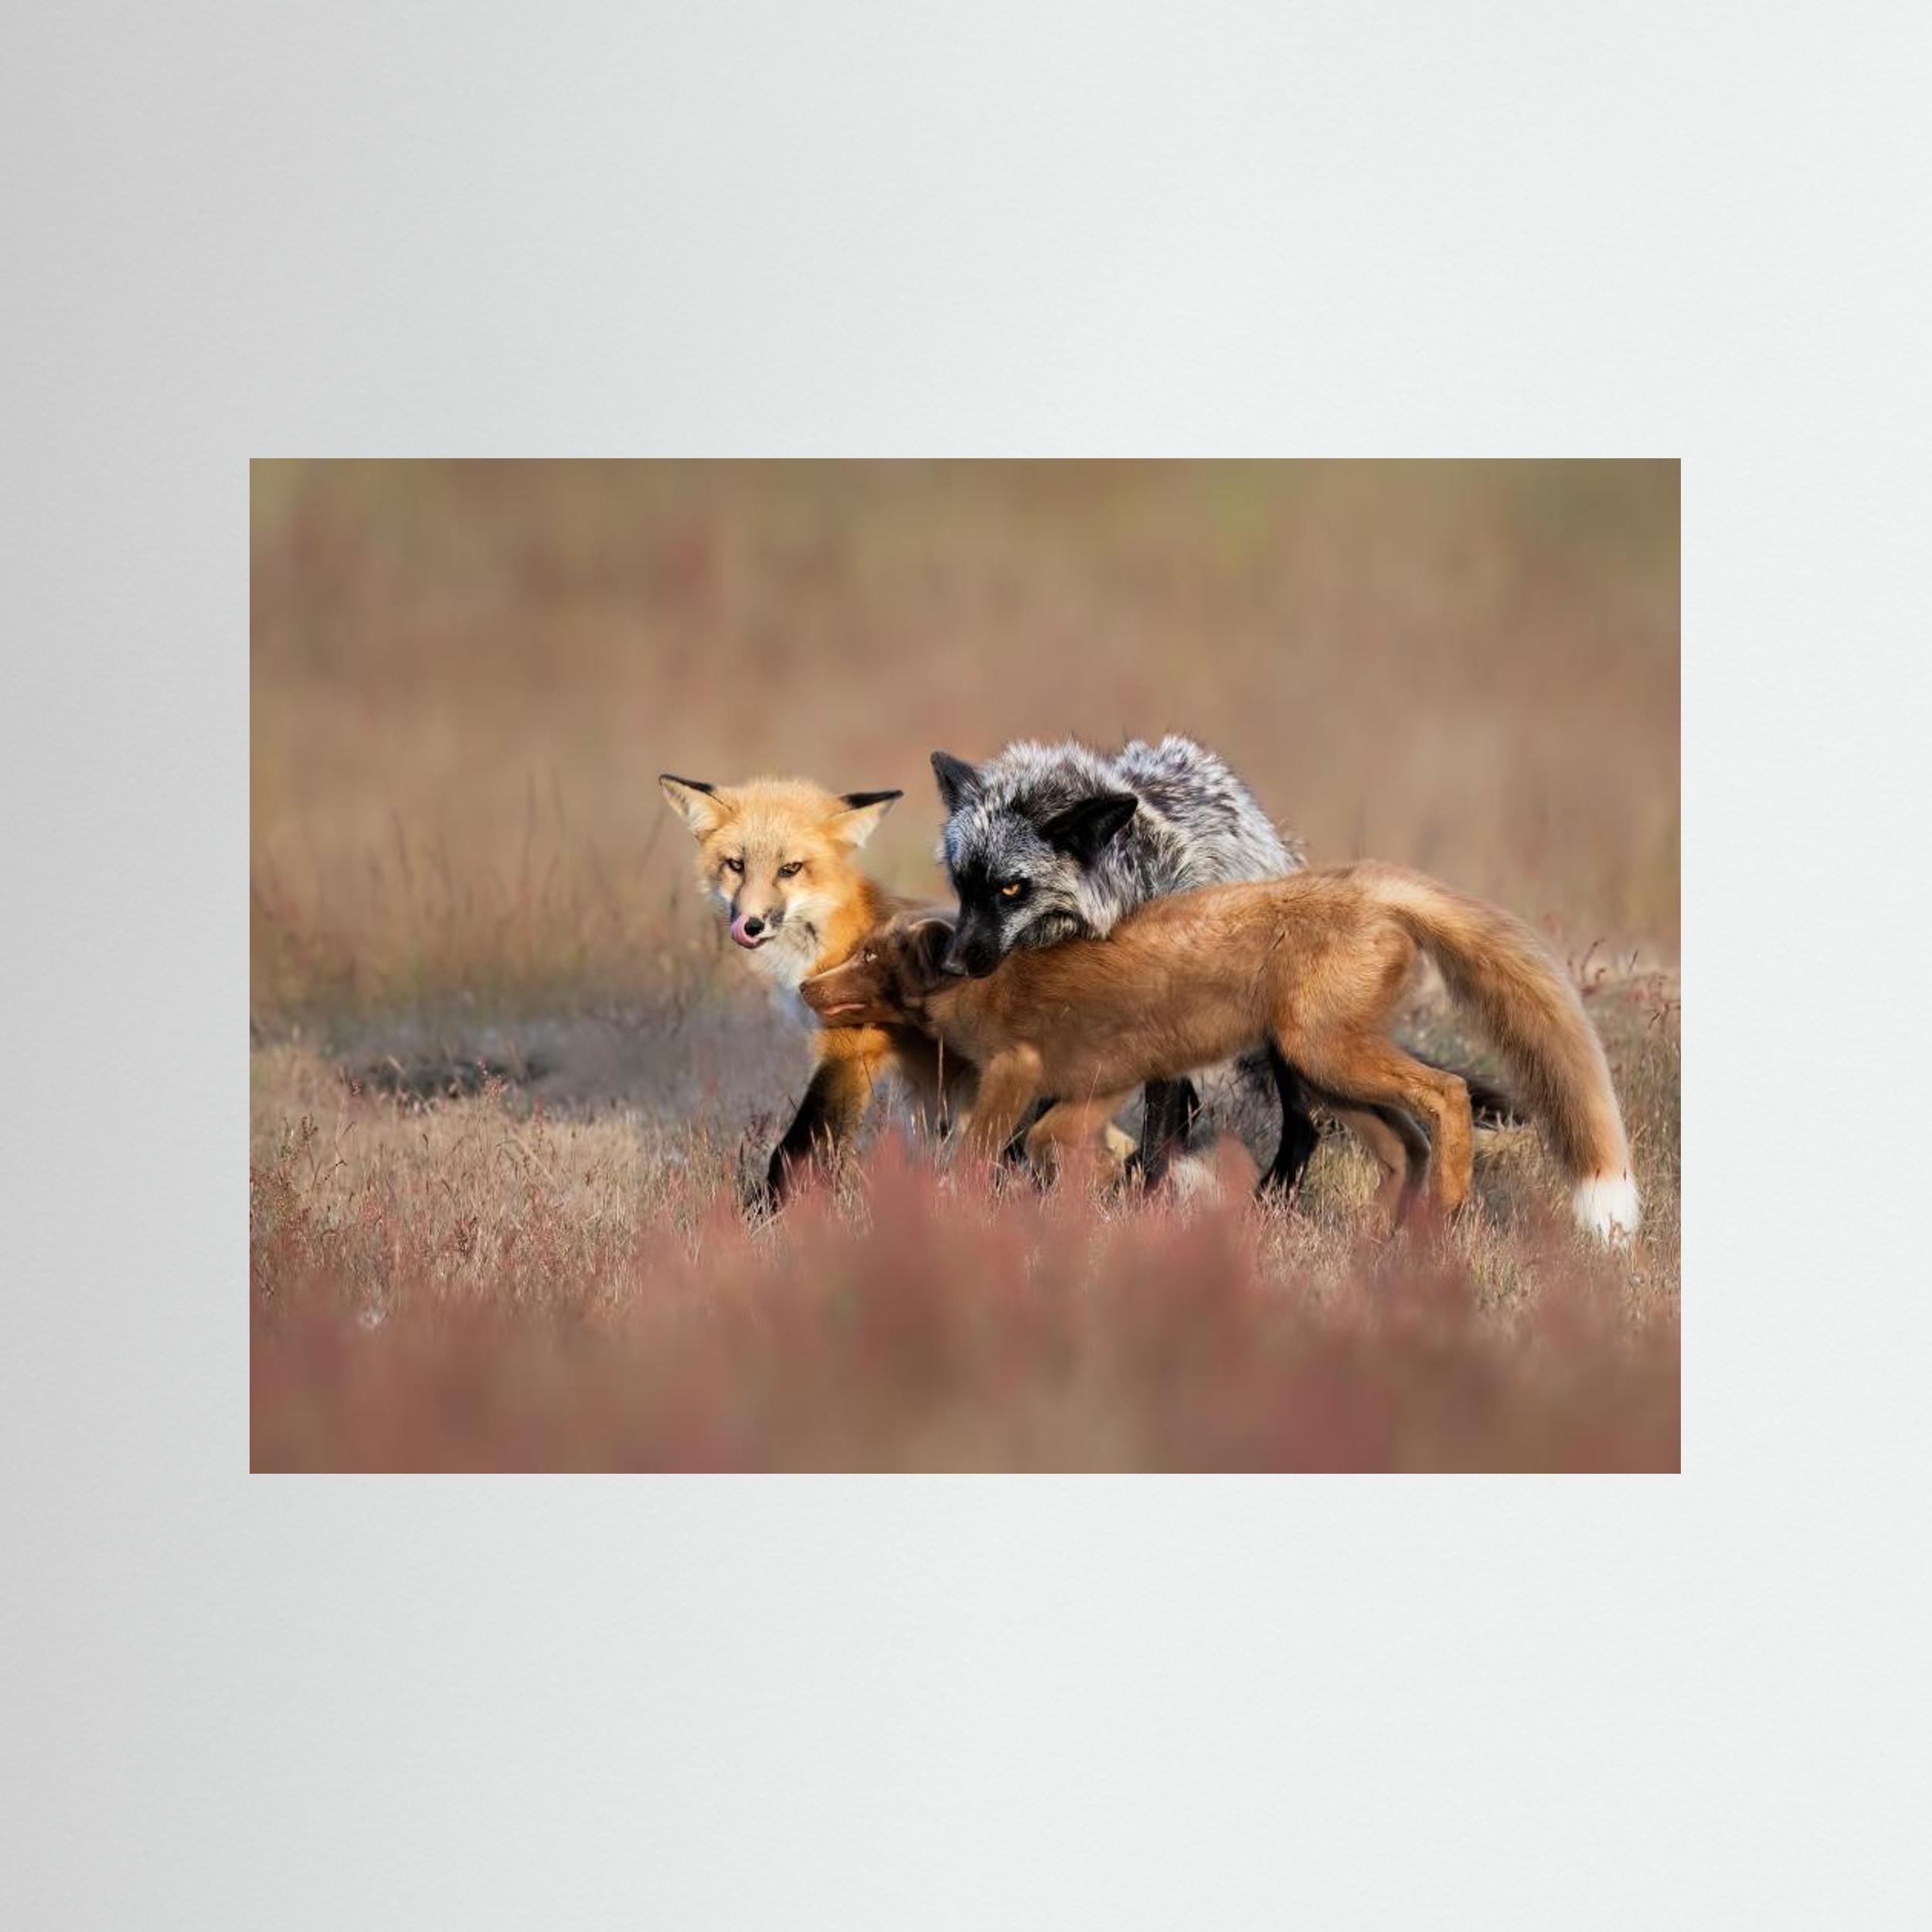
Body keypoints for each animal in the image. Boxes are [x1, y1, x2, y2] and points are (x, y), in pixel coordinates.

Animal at [800, 861, 1641, 1244]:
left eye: (870, 959)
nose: (807, 987)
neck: (980, 985)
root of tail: (1370, 883)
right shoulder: (1099, 1083)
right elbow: (1055, 1144)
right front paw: (1100, 1194)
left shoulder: (1022, 1070)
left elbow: (983, 1151)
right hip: (1323, 1075)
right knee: (1404, 1142)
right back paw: (1380, 1236)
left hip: (1328, 1056)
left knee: (1447, 1095)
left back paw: (1446, 1207)